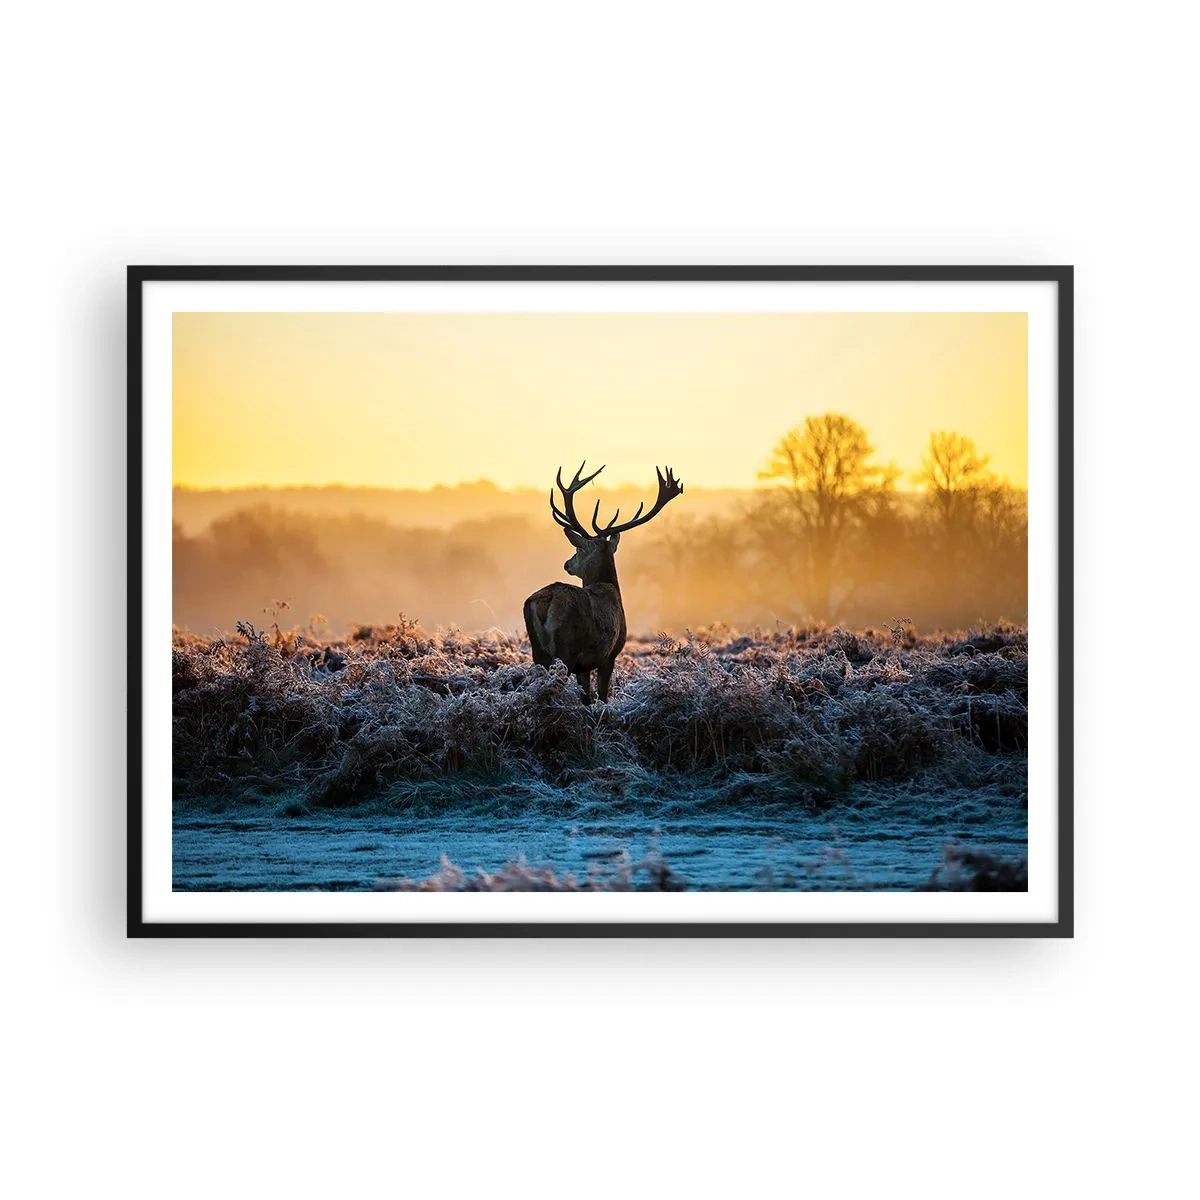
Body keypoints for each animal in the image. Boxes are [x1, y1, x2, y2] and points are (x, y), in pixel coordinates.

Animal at [523, 462, 684, 704]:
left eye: (578, 549)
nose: (567, 563)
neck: (610, 588)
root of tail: (545, 600)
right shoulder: (610, 654)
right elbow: (602, 696)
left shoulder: (584, 666)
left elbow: (587, 699)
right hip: (566, 647)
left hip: (538, 651)